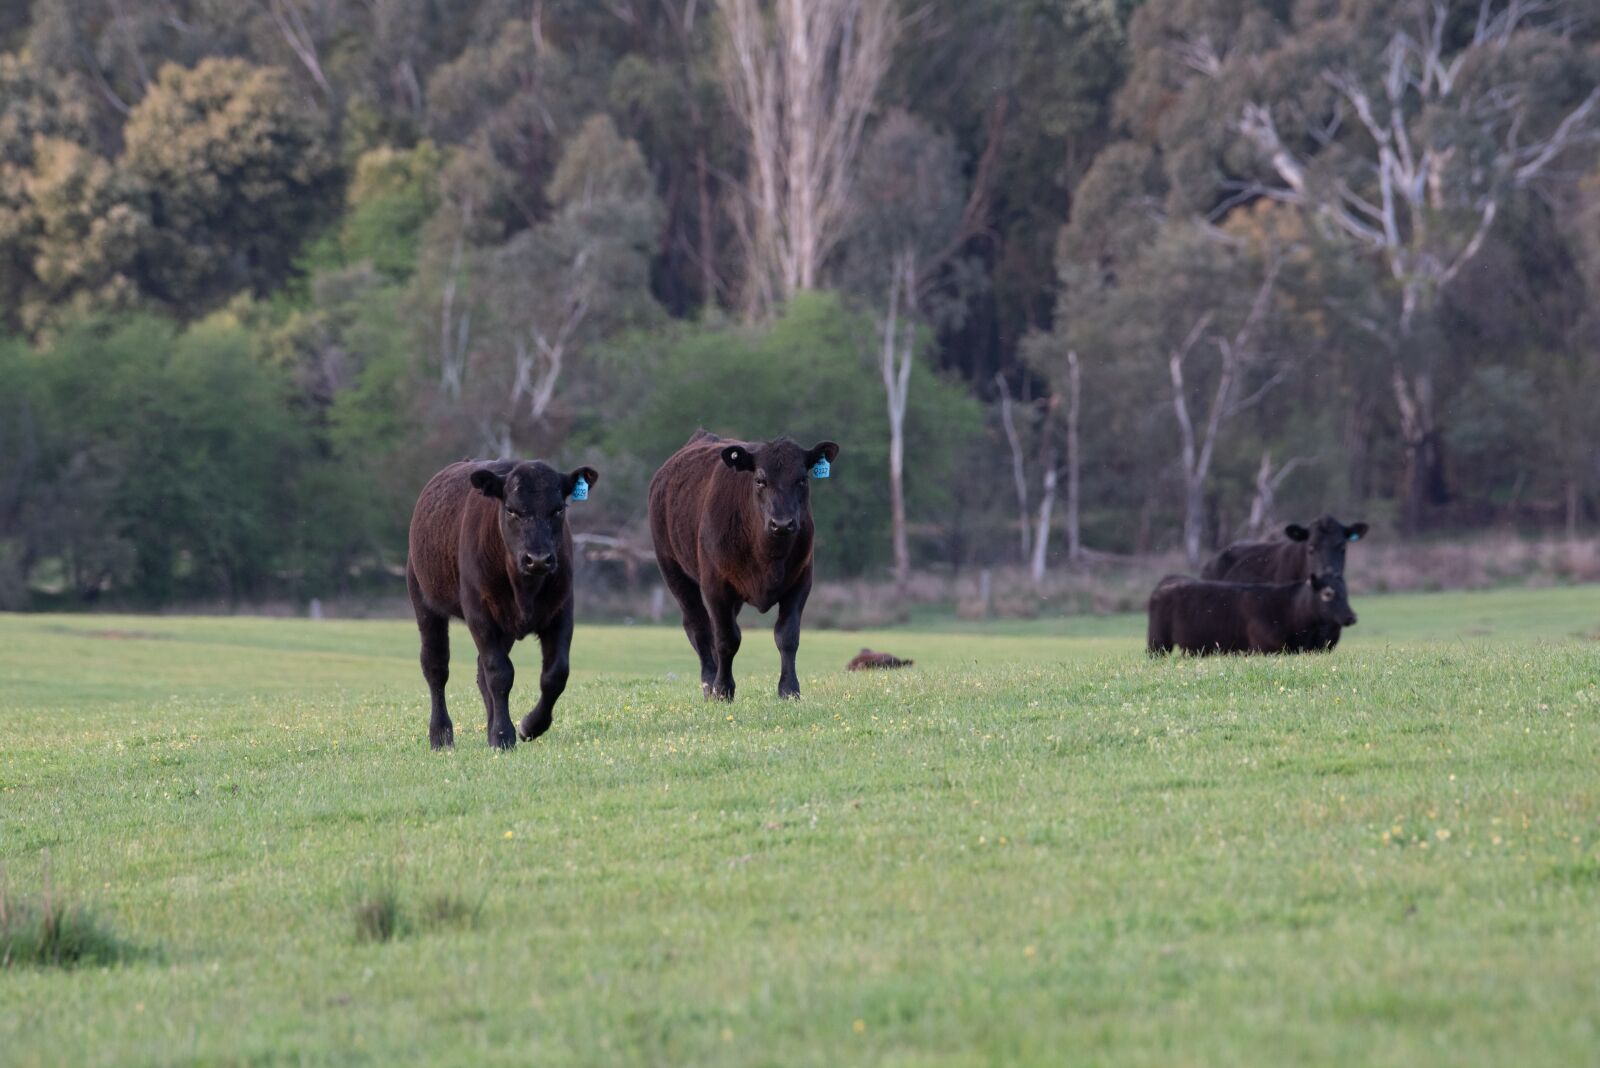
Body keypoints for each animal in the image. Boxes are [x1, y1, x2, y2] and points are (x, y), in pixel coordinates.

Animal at [406, 458, 598, 749]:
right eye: (511, 510)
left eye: (558, 509)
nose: (538, 559)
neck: (524, 589)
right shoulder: (479, 614)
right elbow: (500, 673)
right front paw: (503, 735)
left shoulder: (562, 611)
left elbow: (555, 674)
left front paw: (529, 726)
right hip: (424, 601)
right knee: (436, 666)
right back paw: (441, 735)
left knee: (480, 672)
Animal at [648, 429, 839, 701]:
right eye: (759, 480)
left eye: (802, 479)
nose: (782, 523)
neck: (769, 556)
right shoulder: (715, 585)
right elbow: (727, 639)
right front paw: (722, 689)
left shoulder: (801, 581)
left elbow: (787, 636)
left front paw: (789, 689)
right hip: (673, 569)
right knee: (698, 626)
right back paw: (709, 682)